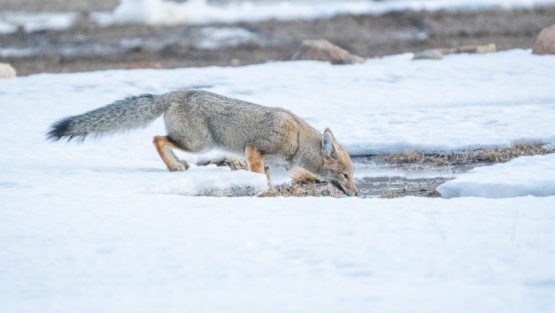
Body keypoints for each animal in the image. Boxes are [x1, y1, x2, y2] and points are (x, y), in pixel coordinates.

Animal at [47, 89, 360, 195]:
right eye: (346, 175)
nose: (357, 194)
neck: (296, 139)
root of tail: (176, 92)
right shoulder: (254, 150)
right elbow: (260, 178)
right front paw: (265, 193)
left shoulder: (265, 160)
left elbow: (269, 177)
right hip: (199, 144)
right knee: (157, 138)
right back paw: (175, 166)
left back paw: (178, 165)